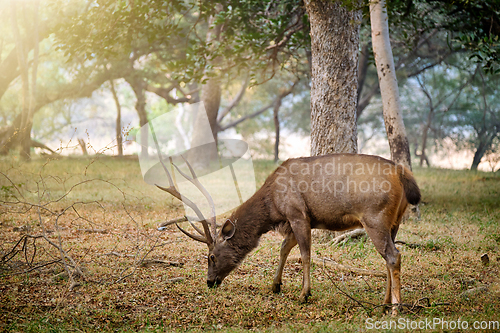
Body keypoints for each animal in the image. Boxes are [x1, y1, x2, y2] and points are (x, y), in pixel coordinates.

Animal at [157, 152, 422, 312]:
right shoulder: (300, 220)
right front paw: (275, 285)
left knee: (393, 256)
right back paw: (384, 303)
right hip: (394, 222)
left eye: (211, 256)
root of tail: (402, 174)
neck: (272, 205)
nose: (210, 281)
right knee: (389, 257)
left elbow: (305, 254)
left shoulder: (297, 213)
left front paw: (304, 294)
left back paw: (396, 309)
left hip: (374, 216)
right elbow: (284, 248)